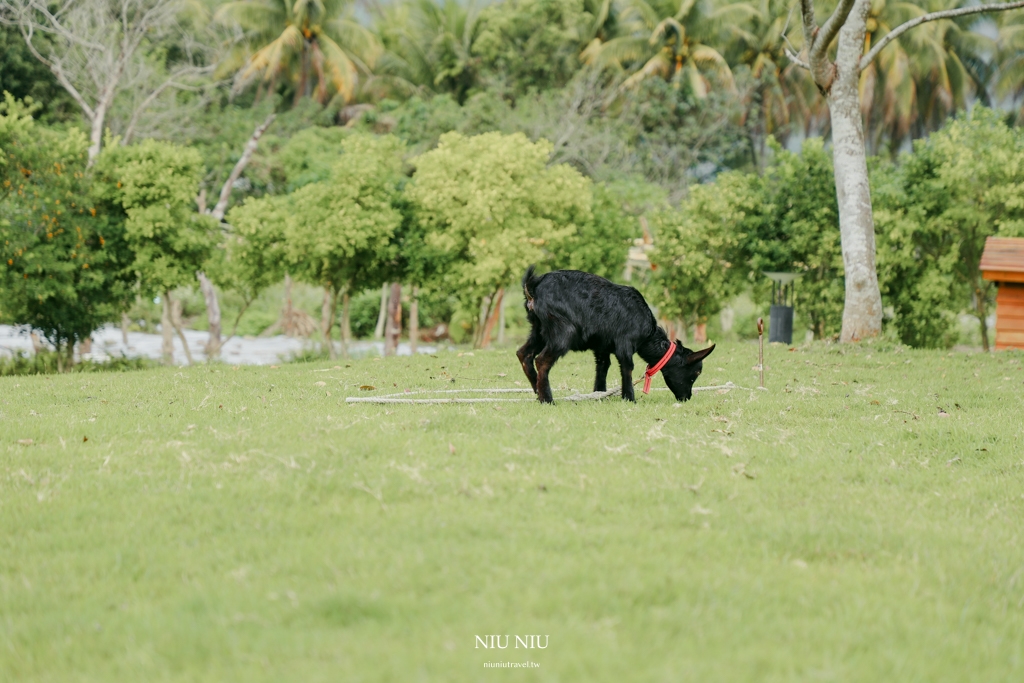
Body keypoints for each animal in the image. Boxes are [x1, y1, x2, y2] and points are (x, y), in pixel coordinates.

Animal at [516, 266, 716, 405]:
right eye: (696, 371)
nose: (687, 398)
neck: (648, 333)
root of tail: (533, 288)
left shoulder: (602, 348)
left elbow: (602, 369)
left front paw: (599, 394)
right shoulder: (624, 344)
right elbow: (627, 367)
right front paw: (629, 398)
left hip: (539, 331)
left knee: (523, 353)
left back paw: (537, 391)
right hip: (563, 331)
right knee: (541, 360)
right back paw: (547, 399)